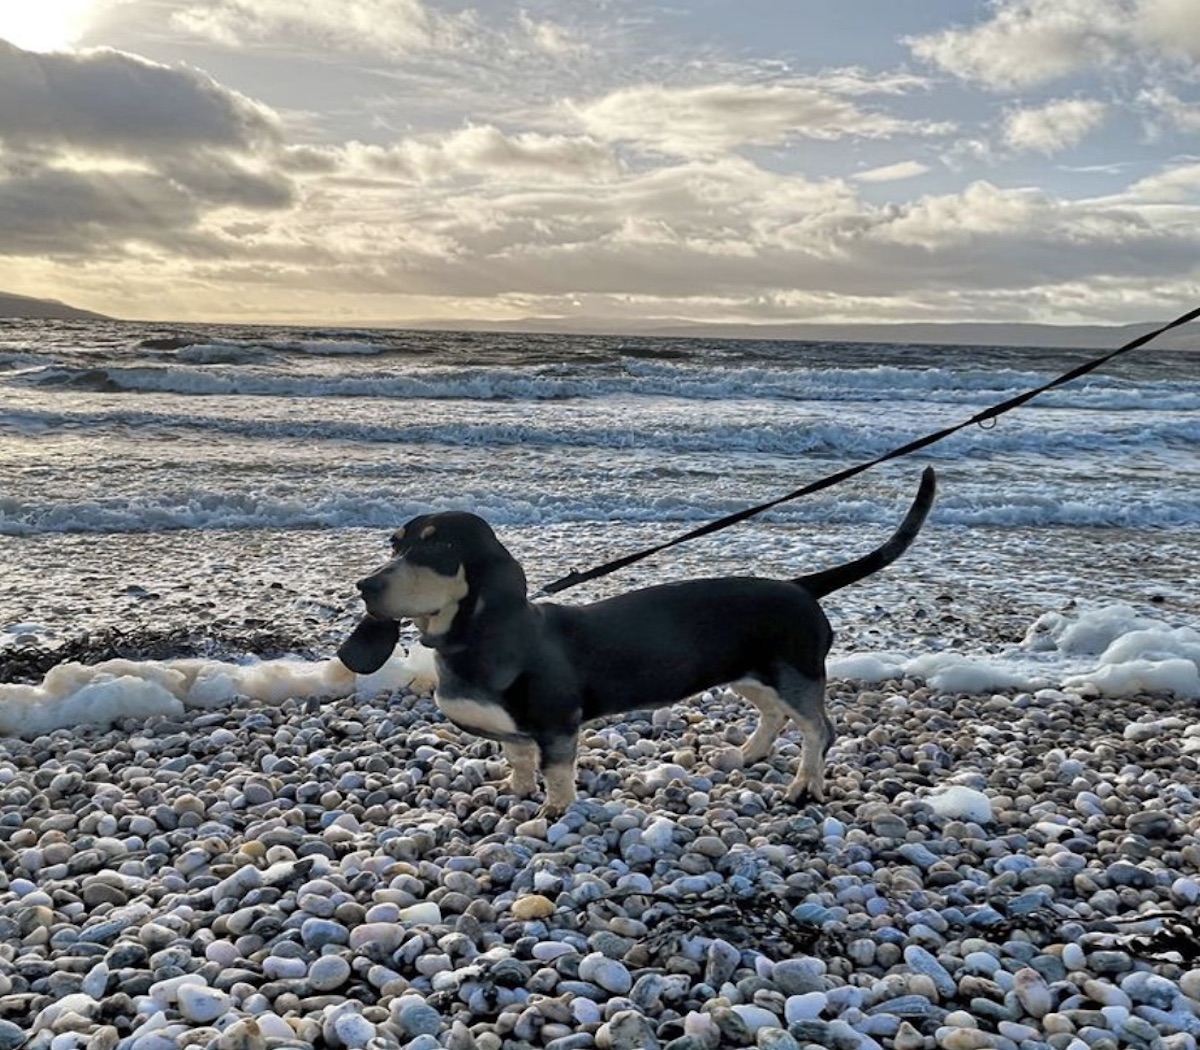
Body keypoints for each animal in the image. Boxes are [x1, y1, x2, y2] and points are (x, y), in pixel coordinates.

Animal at [338, 468, 936, 820]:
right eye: (395, 544)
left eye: (439, 551)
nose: (365, 586)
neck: (469, 641)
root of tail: (801, 586)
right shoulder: (517, 734)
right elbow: (520, 760)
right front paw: (518, 791)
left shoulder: (559, 727)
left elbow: (557, 774)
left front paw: (554, 812)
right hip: (750, 675)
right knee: (773, 716)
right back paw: (747, 753)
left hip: (796, 675)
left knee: (818, 731)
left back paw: (804, 786)